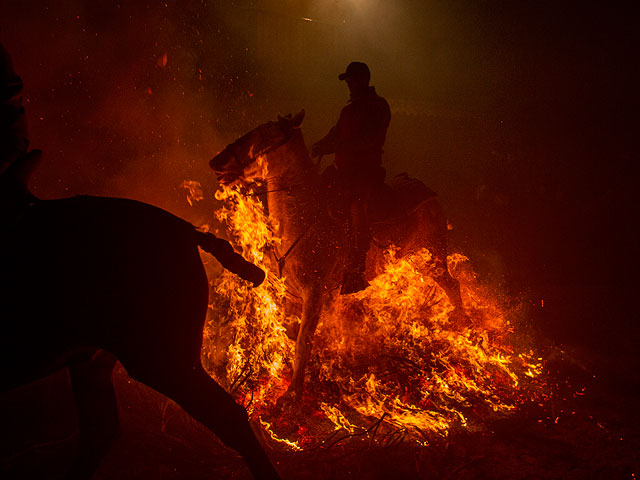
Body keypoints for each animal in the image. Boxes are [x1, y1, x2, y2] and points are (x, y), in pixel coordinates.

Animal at [211, 109, 464, 402]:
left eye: (262, 134)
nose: (216, 161)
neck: (304, 215)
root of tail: (428, 192)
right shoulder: (293, 296)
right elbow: (293, 334)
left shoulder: (315, 293)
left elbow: (303, 341)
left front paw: (293, 393)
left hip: (433, 258)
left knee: (453, 286)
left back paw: (463, 323)